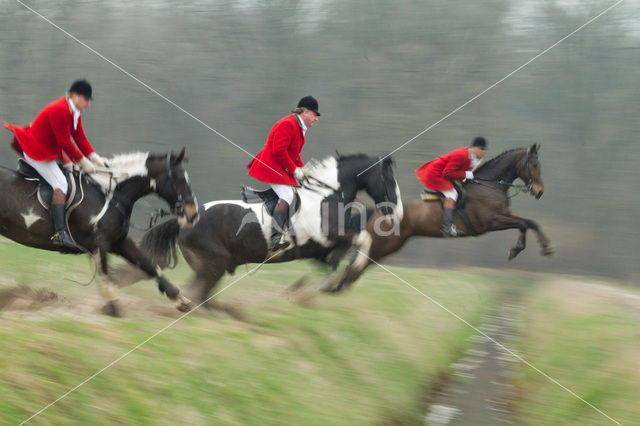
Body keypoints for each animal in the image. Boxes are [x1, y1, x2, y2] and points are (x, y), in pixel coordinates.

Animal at [0, 148, 199, 314]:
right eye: (180, 178)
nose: (193, 214)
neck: (110, 195)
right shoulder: (98, 244)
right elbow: (106, 279)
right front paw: (113, 309)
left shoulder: (119, 242)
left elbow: (150, 266)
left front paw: (181, 300)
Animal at [134, 153, 402, 306]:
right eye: (389, 181)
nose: (397, 213)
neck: (326, 195)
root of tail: (183, 223)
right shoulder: (328, 236)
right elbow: (363, 240)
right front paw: (350, 273)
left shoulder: (320, 251)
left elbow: (333, 265)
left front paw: (325, 287)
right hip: (213, 265)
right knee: (200, 291)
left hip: (211, 267)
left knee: (202, 293)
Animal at [330, 144, 556, 292]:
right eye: (533, 164)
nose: (540, 191)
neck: (491, 184)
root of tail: (378, 211)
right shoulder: (492, 221)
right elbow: (523, 223)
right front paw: (516, 250)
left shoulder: (502, 217)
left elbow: (530, 223)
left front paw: (546, 248)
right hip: (383, 245)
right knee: (355, 266)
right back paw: (336, 290)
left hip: (386, 246)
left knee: (356, 266)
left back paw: (337, 289)